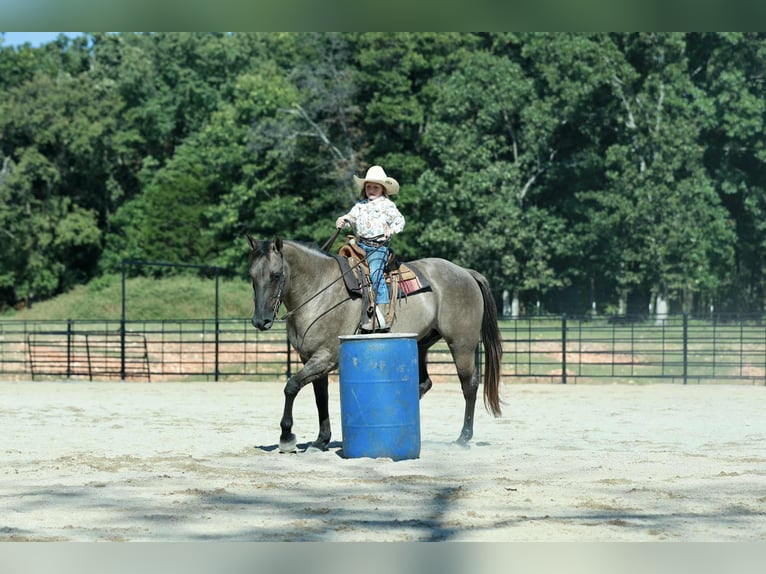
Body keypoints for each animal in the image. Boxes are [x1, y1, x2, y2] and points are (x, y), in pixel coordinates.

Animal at [246, 235, 503, 453]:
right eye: (252, 276)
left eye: (276, 275)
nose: (260, 321)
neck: (319, 292)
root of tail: (466, 273)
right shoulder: (310, 358)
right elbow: (321, 398)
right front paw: (321, 441)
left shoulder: (326, 356)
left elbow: (291, 386)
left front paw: (287, 437)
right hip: (421, 344)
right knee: (425, 383)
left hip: (462, 345)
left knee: (469, 386)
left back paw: (463, 437)